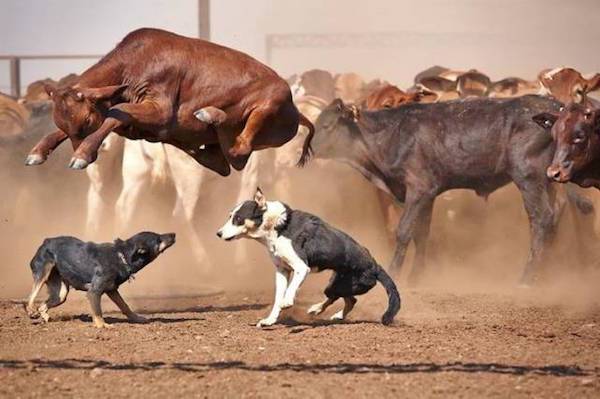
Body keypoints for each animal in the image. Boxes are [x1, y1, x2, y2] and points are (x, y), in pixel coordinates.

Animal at [24, 28, 314, 177]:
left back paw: (210, 114)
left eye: (86, 121)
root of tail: (296, 111)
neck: (132, 65)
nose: (82, 152)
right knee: (222, 162)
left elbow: (118, 112)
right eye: (65, 123)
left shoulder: (160, 110)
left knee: (239, 152)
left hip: (268, 106)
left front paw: (82, 154)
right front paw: (37, 151)